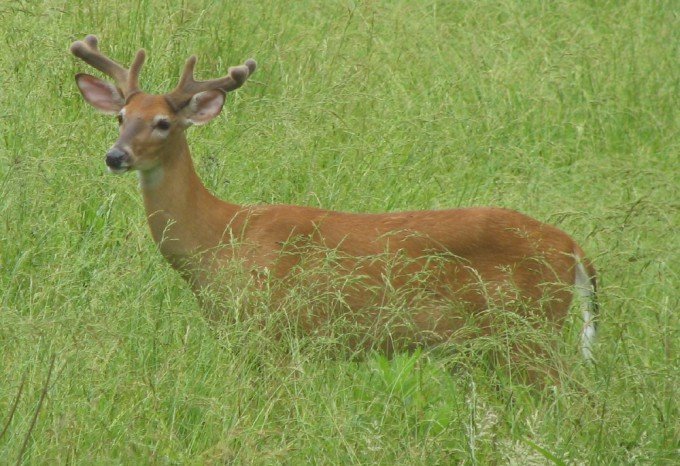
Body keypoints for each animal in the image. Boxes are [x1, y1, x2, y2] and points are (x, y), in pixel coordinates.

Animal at [71, 36, 596, 378]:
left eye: (163, 122)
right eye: (121, 116)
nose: (115, 155)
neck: (220, 237)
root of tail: (572, 248)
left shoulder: (274, 330)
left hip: (529, 331)